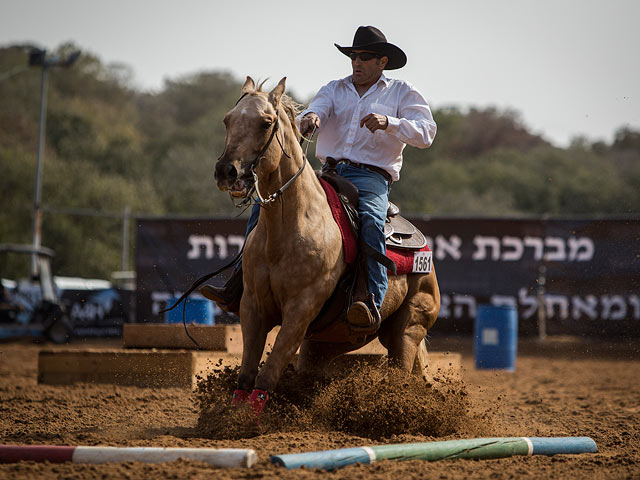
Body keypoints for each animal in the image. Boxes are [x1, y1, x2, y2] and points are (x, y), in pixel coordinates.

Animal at [212, 77, 438, 414]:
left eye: (266, 123)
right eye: (228, 120)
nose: (227, 171)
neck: (288, 231)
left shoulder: (300, 309)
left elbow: (269, 371)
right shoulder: (252, 305)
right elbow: (248, 371)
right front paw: (230, 415)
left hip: (408, 329)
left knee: (403, 371)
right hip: (325, 343)